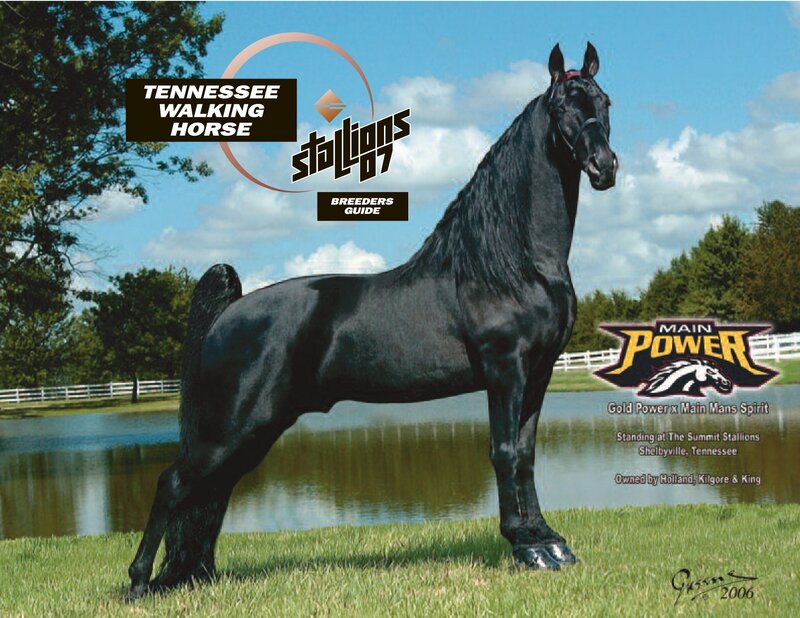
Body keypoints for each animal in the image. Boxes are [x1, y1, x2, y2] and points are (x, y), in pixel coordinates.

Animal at [127, 42, 618, 599]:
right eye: (562, 108)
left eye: (605, 102)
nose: (604, 166)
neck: (511, 265)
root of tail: (230, 312)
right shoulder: (504, 370)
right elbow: (505, 452)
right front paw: (524, 545)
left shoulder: (538, 373)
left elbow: (528, 453)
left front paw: (547, 541)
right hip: (234, 426)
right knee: (174, 483)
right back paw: (139, 584)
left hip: (248, 431)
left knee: (209, 491)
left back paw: (192, 575)